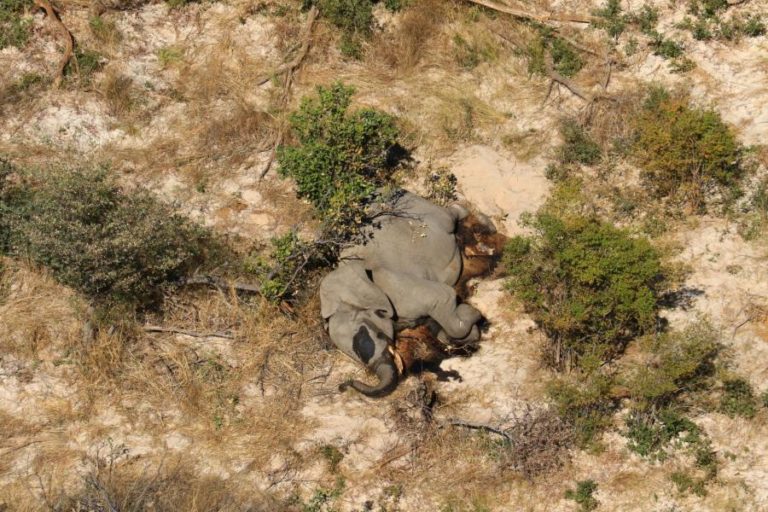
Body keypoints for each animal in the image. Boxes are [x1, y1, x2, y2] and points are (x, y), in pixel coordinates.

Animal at [319, 190, 502, 397]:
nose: (342, 386)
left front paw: (472, 315)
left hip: (422, 209)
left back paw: (485, 223)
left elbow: (444, 297)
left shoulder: (395, 285)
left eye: (377, 335)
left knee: (450, 216)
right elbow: (436, 328)